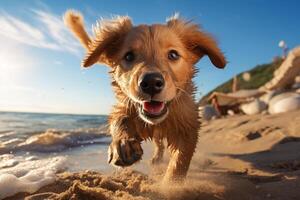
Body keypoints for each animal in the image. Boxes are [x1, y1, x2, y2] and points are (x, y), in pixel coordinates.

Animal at [64, 10, 226, 181]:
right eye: (129, 56)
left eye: (173, 55)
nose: (151, 82)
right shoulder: (125, 106)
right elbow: (120, 120)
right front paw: (123, 144)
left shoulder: (187, 125)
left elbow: (179, 162)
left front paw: (170, 185)